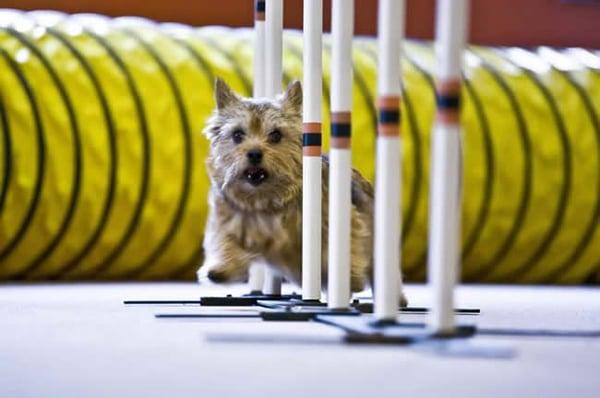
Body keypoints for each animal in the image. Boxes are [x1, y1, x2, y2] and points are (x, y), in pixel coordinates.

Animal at [199, 77, 406, 302]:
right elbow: (225, 241)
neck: (263, 199)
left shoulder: (338, 222)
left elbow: (344, 246)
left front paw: (350, 276)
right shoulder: (228, 220)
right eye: (237, 135)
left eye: (276, 135)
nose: (254, 153)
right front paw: (220, 268)